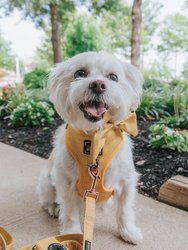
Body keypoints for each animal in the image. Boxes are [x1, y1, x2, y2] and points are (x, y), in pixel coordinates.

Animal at [37, 50, 142, 244]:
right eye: (80, 73)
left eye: (113, 77)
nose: (98, 85)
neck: (95, 138)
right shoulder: (66, 181)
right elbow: (70, 210)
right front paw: (71, 232)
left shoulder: (126, 180)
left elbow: (124, 210)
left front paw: (128, 232)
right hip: (47, 182)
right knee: (49, 200)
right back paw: (54, 208)